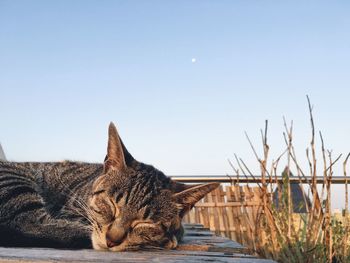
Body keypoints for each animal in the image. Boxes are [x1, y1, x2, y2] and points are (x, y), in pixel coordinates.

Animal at [0, 124, 219, 252]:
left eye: (146, 222)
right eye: (111, 204)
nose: (111, 240)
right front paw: (167, 239)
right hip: (15, 181)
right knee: (25, 223)